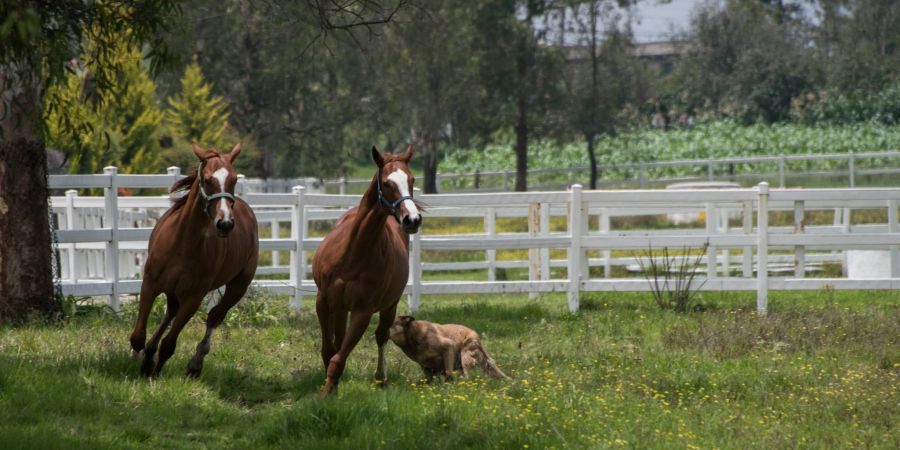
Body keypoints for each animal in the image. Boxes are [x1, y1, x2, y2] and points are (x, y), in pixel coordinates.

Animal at [128, 142, 258, 378]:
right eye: (207, 179)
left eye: (234, 179)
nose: (225, 223)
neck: (183, 243)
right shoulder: (150, 283)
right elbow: (138, 335)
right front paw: (140, 361)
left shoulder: (194, 297)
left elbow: (169, 345)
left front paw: (154, 372)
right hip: (172, 290)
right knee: (170, 312)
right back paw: (150, 352)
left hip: (238, 286)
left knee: (215, 316)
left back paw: (195, 364)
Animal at [312, 146, 422, 396]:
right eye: (388, 182)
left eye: (411, 180)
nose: (412, 219)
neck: (352, 255)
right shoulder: (323, 302)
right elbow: (329, 350)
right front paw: (329, 390)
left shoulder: (363, 311)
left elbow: (339, 357)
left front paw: (328, 391)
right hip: (340, 308)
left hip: (388, 306)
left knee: (381, 336)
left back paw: (381, 377)